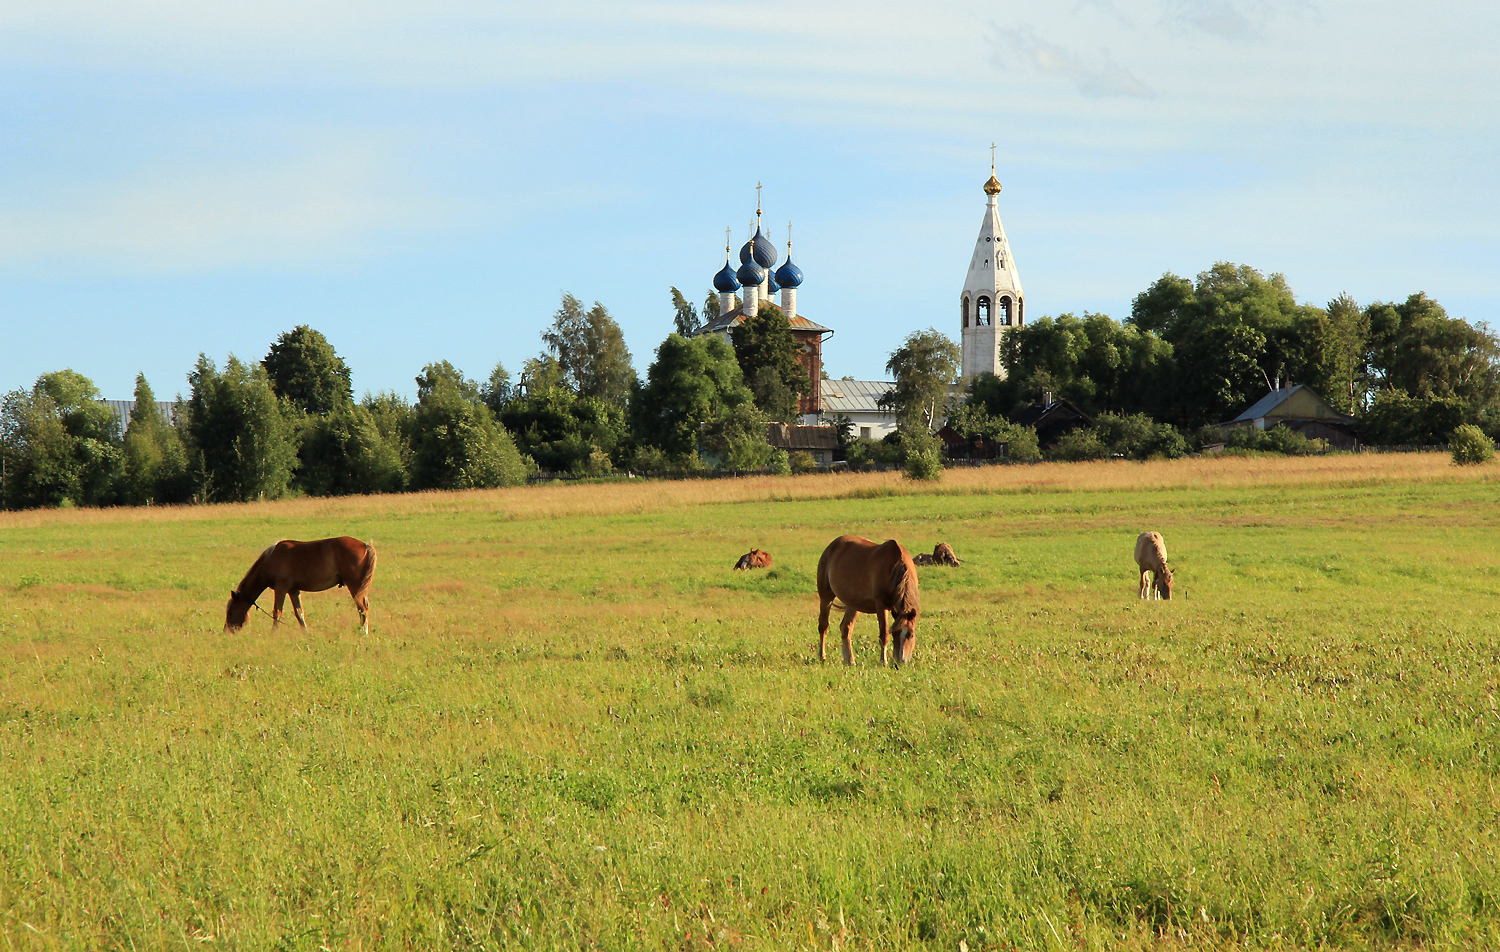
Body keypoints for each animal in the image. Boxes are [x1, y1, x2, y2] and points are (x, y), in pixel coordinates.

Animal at [228, 536, 384, 632]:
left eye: (231, 612)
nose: (227, 631)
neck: (270, 559)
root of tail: (365, 545)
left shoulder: (280, 588)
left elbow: (277, 612)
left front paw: (273, 633)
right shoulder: (293, 591)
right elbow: (299, 613)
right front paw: (306, 633)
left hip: (355, 587)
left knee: (362, 609)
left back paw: (363, 633)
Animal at [816, 533, 918, 665]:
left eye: (911, 635)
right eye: (894, 634)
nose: (899, 662)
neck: (894, 567)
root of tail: (831, 546)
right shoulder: (881, 605)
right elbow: (884, 634)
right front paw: (883, 662)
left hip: (853, 605)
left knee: (846, 628)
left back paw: (850, 660)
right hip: (826, 596)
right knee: (823, 626)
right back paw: (822, 656)